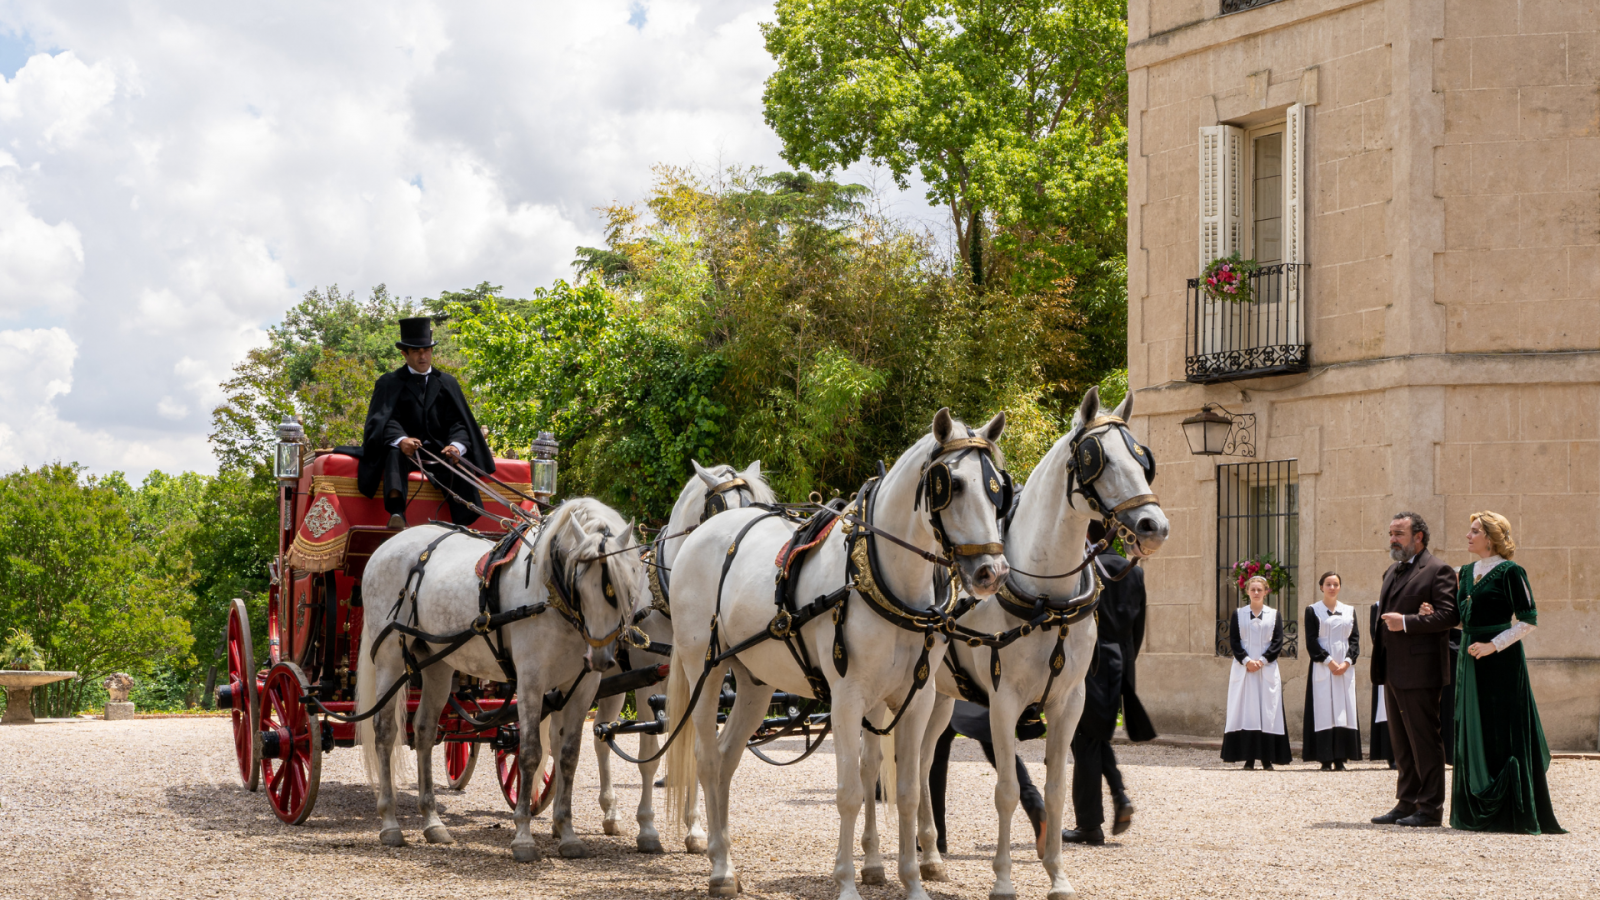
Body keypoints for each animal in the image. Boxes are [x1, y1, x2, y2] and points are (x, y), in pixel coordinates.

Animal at [360, 493, 640, 858]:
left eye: (622, 588)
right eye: (580, 582)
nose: (602, 658)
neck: (551, 597)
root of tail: (388, 544)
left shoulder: (582, 687)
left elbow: (568, 756)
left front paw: (567, 833)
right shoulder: (531, 680)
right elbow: (531, 752)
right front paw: (523, 836)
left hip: (437, 662)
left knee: (423, 731)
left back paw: (432, 822)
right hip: (390, 658)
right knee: (384, 731)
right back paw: (390, 822)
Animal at [598, 458, 777, 851]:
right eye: (721, 509)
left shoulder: (700, 679)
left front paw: (695, 829)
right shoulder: (648, 683)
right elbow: (648, 758)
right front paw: (648, 828)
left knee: (601, 735)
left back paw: (609, 811)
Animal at [662, 408, 1011, 896]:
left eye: (997, 486)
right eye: (951, 484)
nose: (990, 572)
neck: (882, 580)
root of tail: (700, 535)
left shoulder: (916, 700)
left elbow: (906, 790)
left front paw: (912, 882)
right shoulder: (847, 698)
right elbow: (849, 792)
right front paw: (846, 881)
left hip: (755, 683)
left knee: (729, 757)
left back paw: (725, 857)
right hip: (706, 670)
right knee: (708, 759)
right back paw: (719, 867)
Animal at [915, 384, 1177, 896]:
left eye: (1143, 458)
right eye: (1098, 459)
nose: (1154, 527)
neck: (1046, 597)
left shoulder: (1068, 701)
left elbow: (1056, 788)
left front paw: (1057, 874)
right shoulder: (1002, 703)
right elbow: (1008, 790)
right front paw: (1003, 880)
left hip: (941, 698)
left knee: (921, 758)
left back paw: (929, 854)